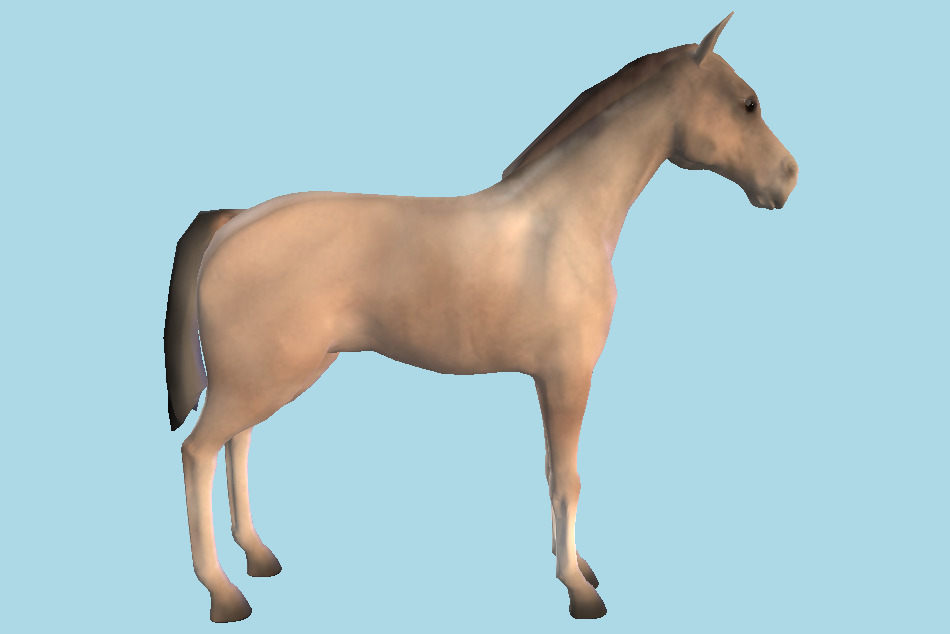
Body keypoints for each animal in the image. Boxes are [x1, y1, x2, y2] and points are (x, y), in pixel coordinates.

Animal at [164, 12, 797, 622]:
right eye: (747, 103)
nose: (788, 177)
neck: (564, 217)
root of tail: (236, 222)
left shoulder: (548, 380)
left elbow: (552, 473)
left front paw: (577, 567)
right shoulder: (568, 377)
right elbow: (569, 480)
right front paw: (578, 591)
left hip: (265, 379)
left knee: (238, 444)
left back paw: (258, 555)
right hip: (259, 380)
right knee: (198, 452)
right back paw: (224, 593)